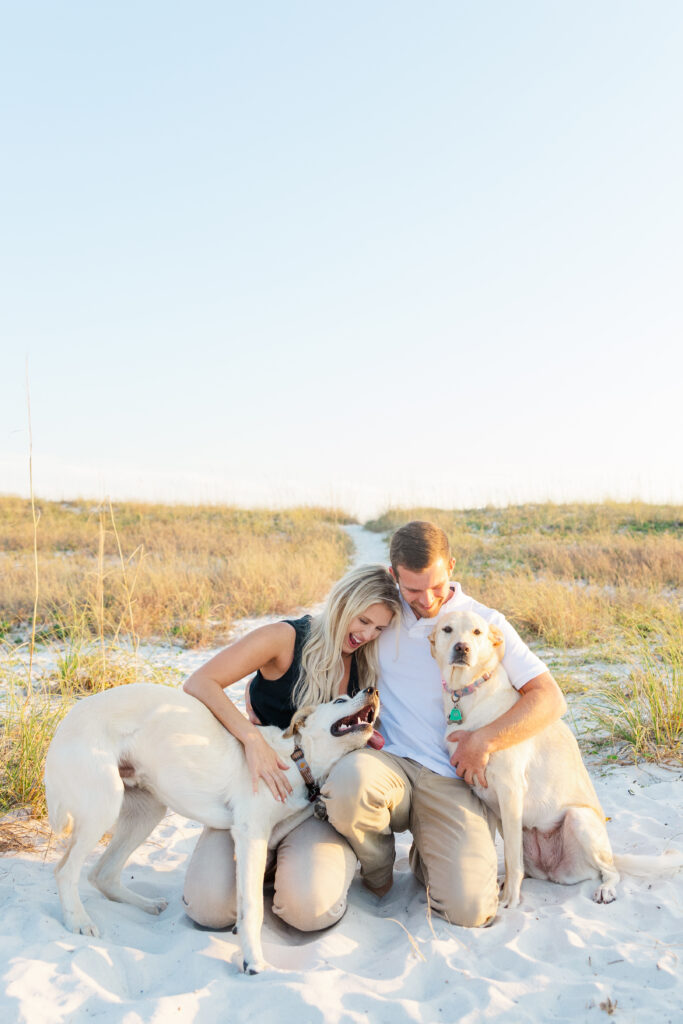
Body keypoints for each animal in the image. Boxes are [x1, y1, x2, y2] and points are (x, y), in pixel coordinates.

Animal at [45, 684, 382, 970]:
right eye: (339, 700)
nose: (372, 689)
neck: (298, 758)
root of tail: (62, 727)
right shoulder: (250, 833)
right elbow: (252, 906)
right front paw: (253, 959)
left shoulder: (270, 831)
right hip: (103, 806)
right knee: (65, 871)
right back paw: (78, 921)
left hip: (146, 812)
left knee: (102, 873)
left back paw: (147, 905)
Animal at [430, 610, 679, 909]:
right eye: (447, 629)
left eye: (477, 632)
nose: (462, 648)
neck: (469, 692)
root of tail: (552, 872)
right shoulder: (485, 798)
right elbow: (507, 857)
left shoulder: (510, 791)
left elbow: (512, 858)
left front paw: (510, 899)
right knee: (528, 866)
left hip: (579, 820)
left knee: (611, 871)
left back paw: (605, 889)